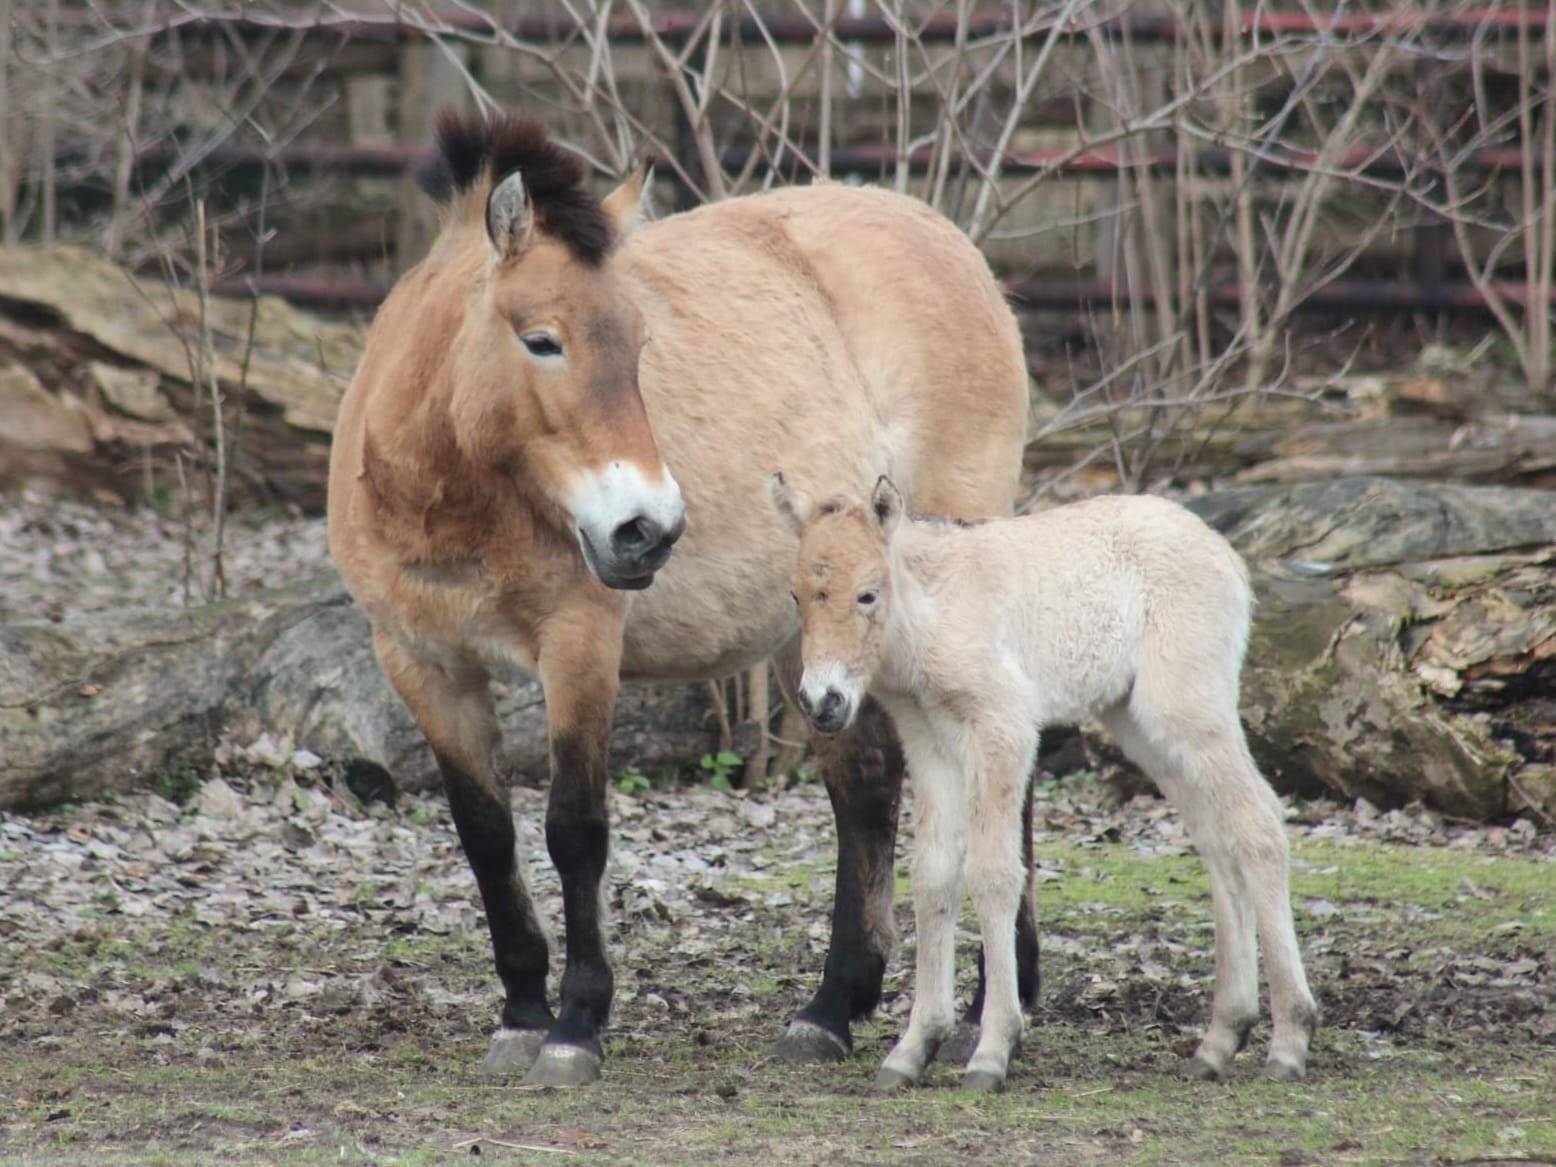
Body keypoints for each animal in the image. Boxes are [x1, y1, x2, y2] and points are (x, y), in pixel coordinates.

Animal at [328, 114, 1033, 1095]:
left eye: (638, 342)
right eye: (541, 339)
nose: (648, 530)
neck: (451, 491)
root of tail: (956, 248)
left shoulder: (580, 646)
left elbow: (575, 828)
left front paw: (575, 1027)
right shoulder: (420, 660)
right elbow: (486, 834)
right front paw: (520, 1014)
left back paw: (994, 1010)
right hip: (820, 628)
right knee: (863, 788)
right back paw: (830, 1009)